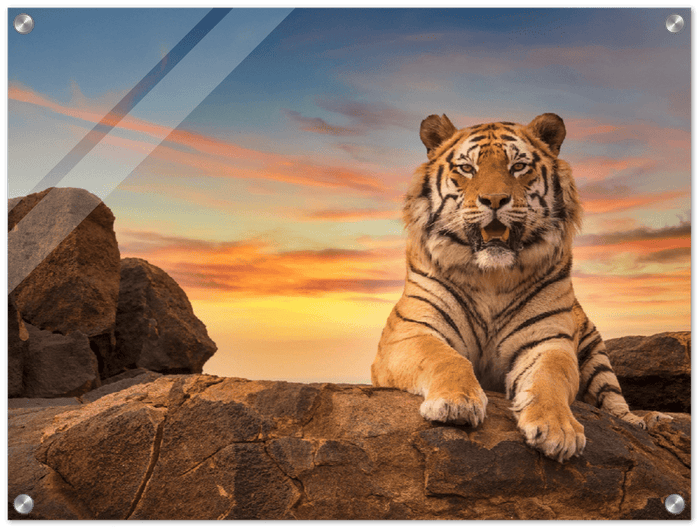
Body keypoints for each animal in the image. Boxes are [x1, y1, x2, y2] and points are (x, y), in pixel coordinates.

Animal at [371, 113, 666, 462]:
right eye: (467, 168)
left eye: (519, 166)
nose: (495, 200)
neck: (491, 277)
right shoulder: (410, 333)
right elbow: (446, 358)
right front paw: (456, 403)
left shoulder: (548, 342)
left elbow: (550, 377)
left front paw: (557, 430)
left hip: (597, 356)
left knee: (615, 402)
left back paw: (644, 421)